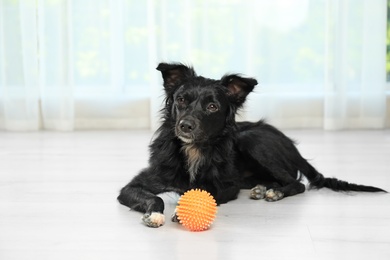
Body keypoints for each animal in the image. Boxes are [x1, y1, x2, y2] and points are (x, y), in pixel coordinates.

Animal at [117, 62, 386, 228]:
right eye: (181, 100)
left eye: (212, 106)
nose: (185, 126)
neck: (194, 150)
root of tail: (293, 147)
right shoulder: (131, 187)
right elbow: (157, 198)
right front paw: (155, 214)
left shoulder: (228, 187)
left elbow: (208, 193)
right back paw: (262, 188)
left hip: (253, 140)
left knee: (296, 182)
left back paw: (275, 192)